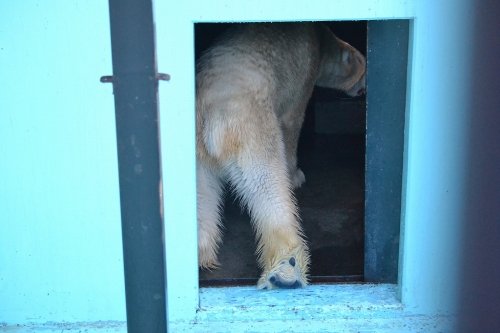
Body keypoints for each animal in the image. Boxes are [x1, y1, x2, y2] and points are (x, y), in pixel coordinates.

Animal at [194, 22, 364, 288]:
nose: (364, 89)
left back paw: (201, 254)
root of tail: (211, 119)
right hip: (251, 128)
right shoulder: (303, 74)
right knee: (268, 187)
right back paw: (286, 269)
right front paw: (296, 174)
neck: (321, 39)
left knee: (202, 195)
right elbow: (293, 120)